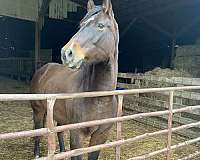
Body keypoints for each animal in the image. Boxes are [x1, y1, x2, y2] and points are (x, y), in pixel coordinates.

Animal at [30, 0, 119, 159]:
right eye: (81, 25)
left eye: (100, 25)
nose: (66, 53)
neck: (98, 98)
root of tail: (42, 70)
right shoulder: (77, 134)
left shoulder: (101, 136)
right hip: (38, 111)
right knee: (38, 132)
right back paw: (37, 155)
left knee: (59, 131)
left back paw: (62, 152)